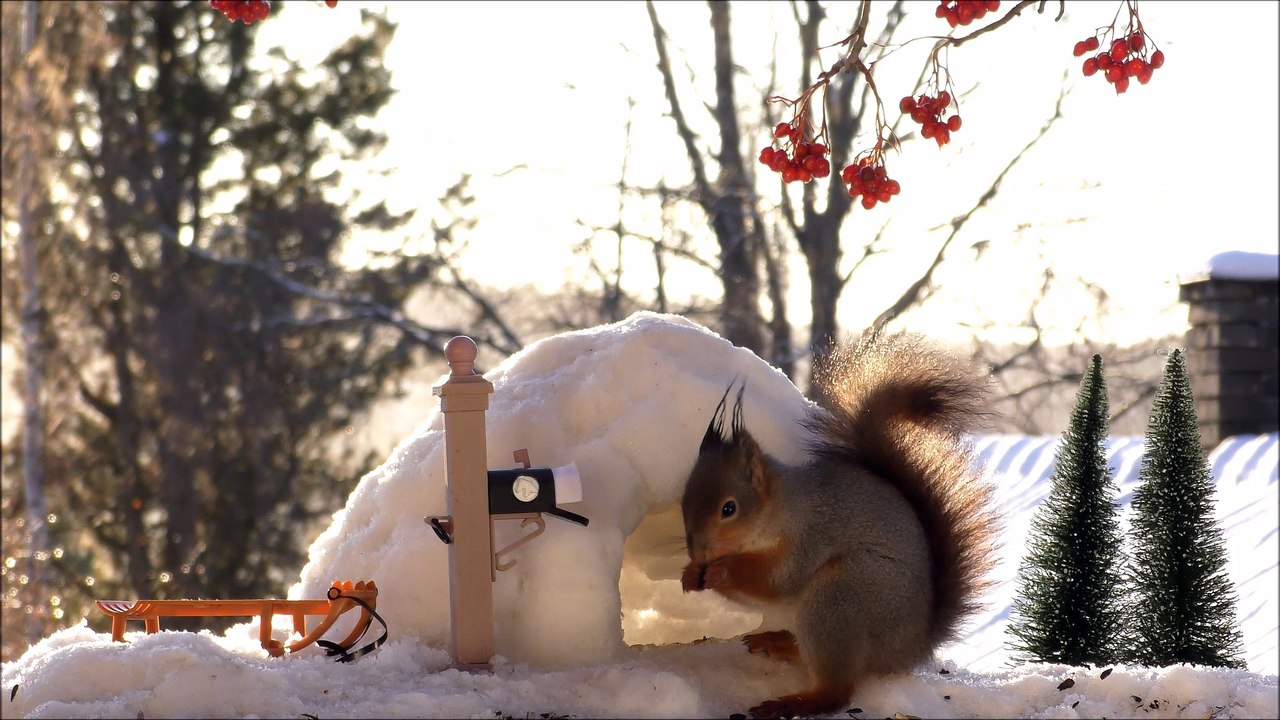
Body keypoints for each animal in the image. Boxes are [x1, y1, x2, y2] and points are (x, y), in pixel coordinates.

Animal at [680, 331, 1000, 719]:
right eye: (683, 501)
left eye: (729, 508)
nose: (699, 550)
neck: (780, 510)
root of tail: (909, 648)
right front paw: (690, 572)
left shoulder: (808, 538)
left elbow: (776, 581)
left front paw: (722, 571)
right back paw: (779, 642)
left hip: (841, 598)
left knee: (838, 691)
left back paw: (794, 701)